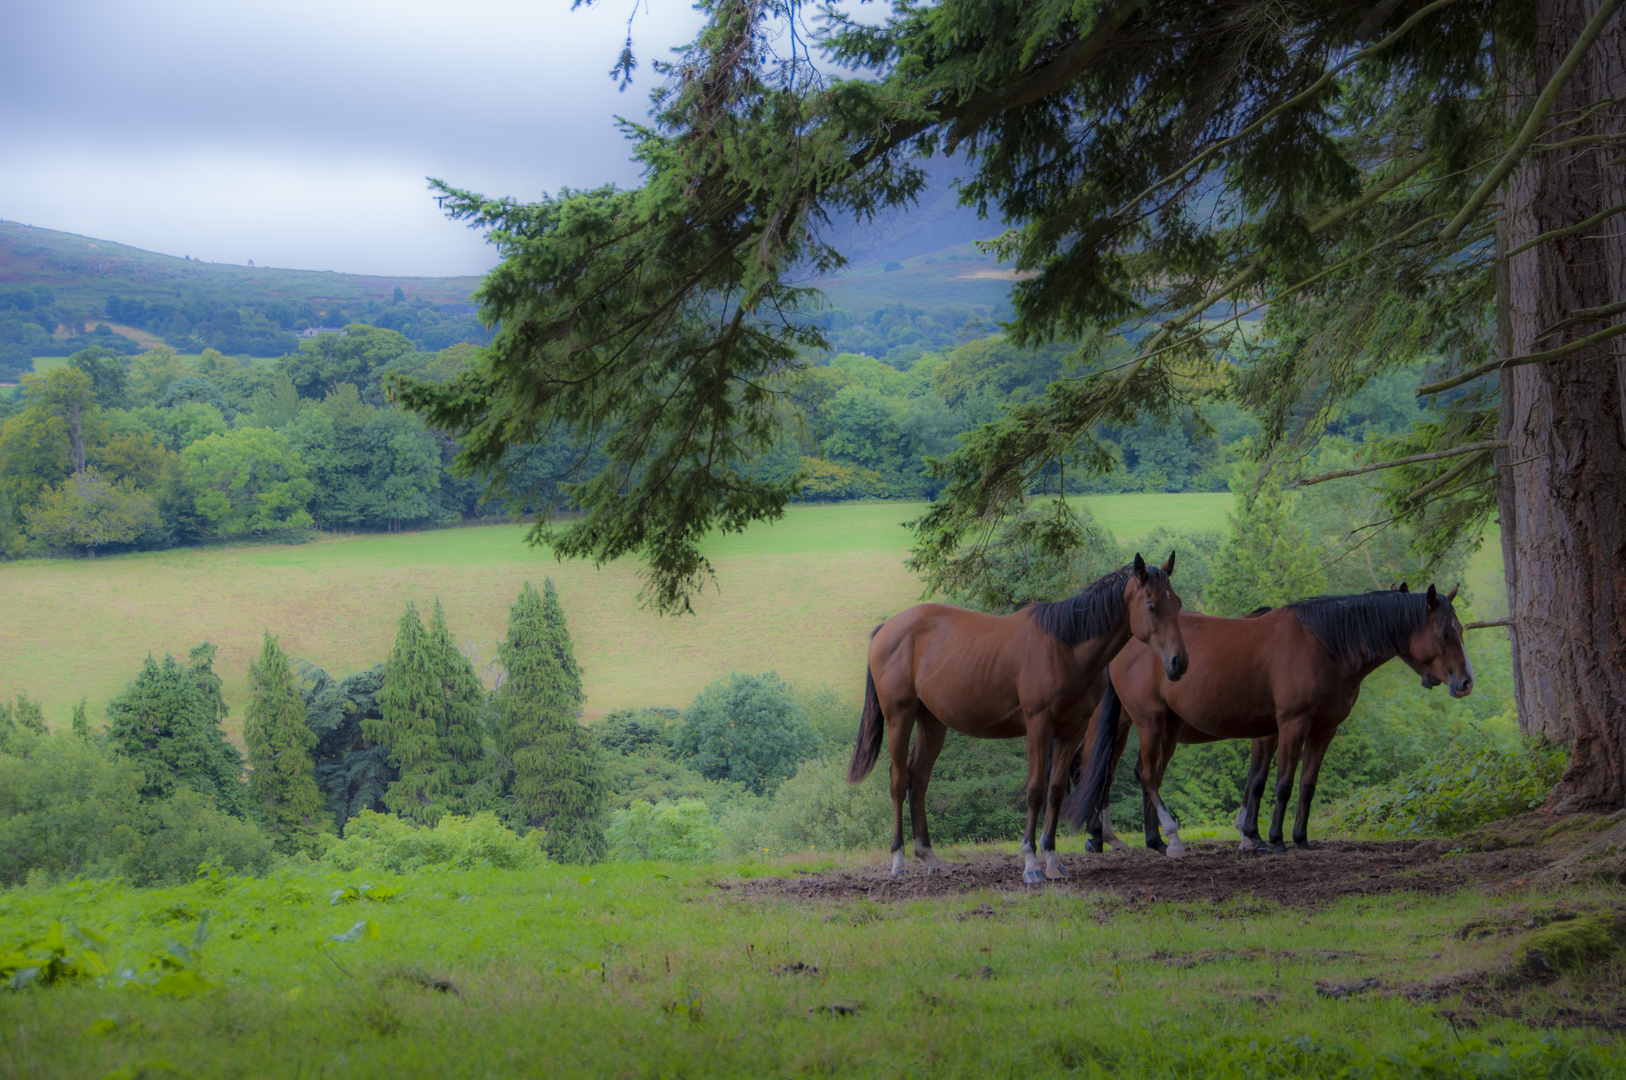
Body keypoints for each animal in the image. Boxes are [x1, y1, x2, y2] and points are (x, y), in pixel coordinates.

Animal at [845, 553, 1190, 884]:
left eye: (1177, 603)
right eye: (1151, 606)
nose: (1179, 663)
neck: (1064, 647)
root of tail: (887, 629)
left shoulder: (1071, 731)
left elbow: (1055, 791)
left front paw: (1052, 860)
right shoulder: (1038, 726)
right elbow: (1035, 790)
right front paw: (1031, 863)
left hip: (932, 722)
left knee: (919, 780)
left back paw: (929, 856)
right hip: (899, 717)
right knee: (899, 781)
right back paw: (899, 861)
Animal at [1066, 585, 1476, 858]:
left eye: (1460, 630)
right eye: (1445, 631)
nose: (1466, 682)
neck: (1323, 645)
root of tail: (1129, 641)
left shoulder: (1322, 730)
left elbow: (1300, 785)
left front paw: (1294, 838)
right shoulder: (1291, 725)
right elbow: (1281, 785)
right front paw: (1275, 839)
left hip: (1157, 727)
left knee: (1132, 774)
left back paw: (1141, 839)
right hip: (1146, 723)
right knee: (1132, 774)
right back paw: (1152, 839)